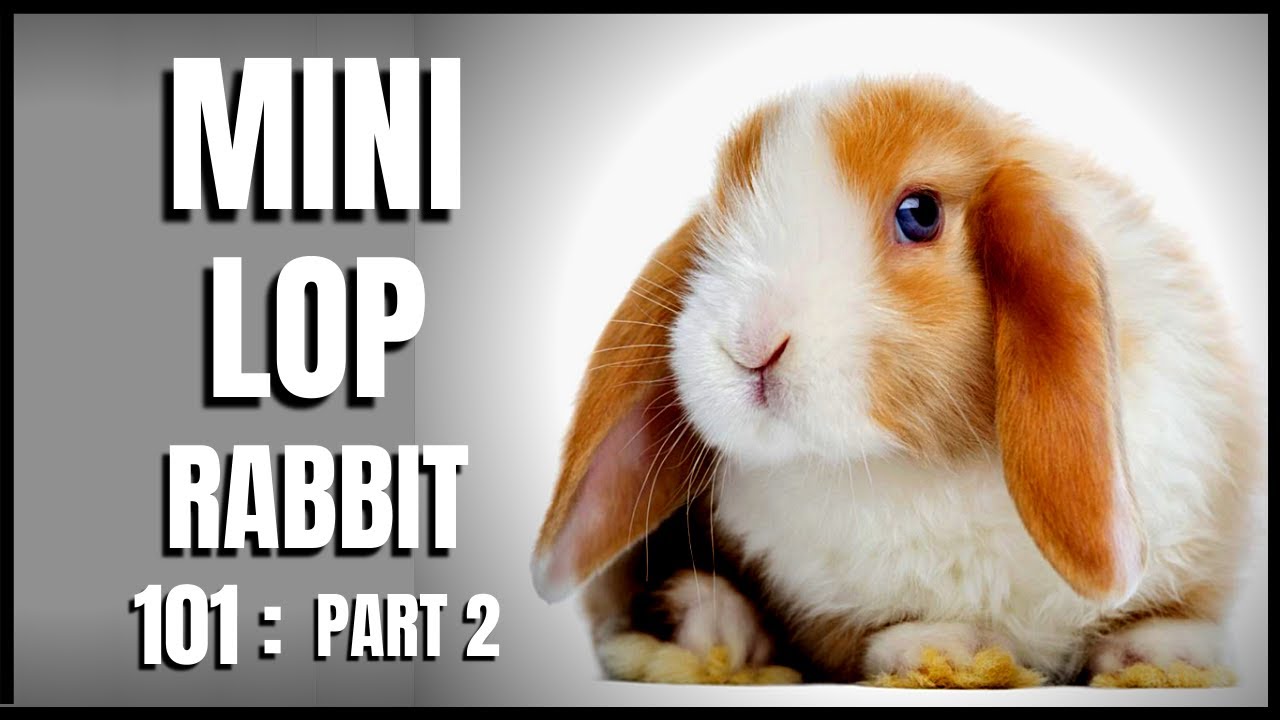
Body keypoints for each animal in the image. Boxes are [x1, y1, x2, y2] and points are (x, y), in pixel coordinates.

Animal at [532, 77, 1262, 684]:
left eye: (920, 214)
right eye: (719, 219)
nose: (750, 345)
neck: (916, 465)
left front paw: (1159, 655)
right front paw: (947, 651)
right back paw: (711, 633)